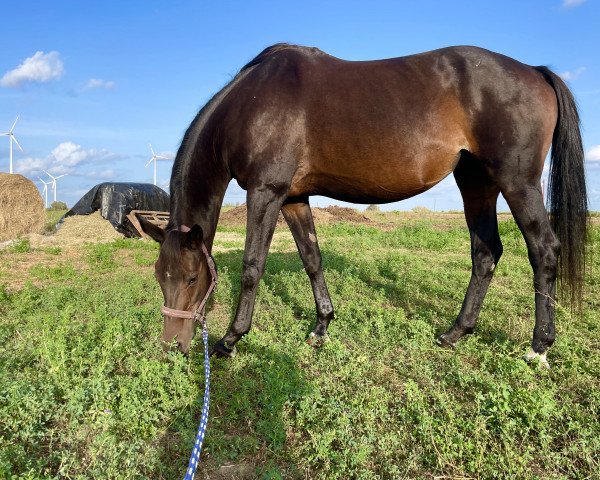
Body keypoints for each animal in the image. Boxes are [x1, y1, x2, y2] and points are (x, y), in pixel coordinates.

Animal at [139, 44, 584, 368]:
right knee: (486, 252)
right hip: (476, 181)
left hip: (517, 181)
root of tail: (534, 70)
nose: (171, 346)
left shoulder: (266, 192)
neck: (249, 105)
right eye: (160, 277)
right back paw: (455, 333)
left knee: (543, 250)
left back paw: (539, 347)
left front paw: (231, 340)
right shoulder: (293, 197)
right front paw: (321, 327)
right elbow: (312, 258)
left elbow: (252, 267)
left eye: (192, 278)